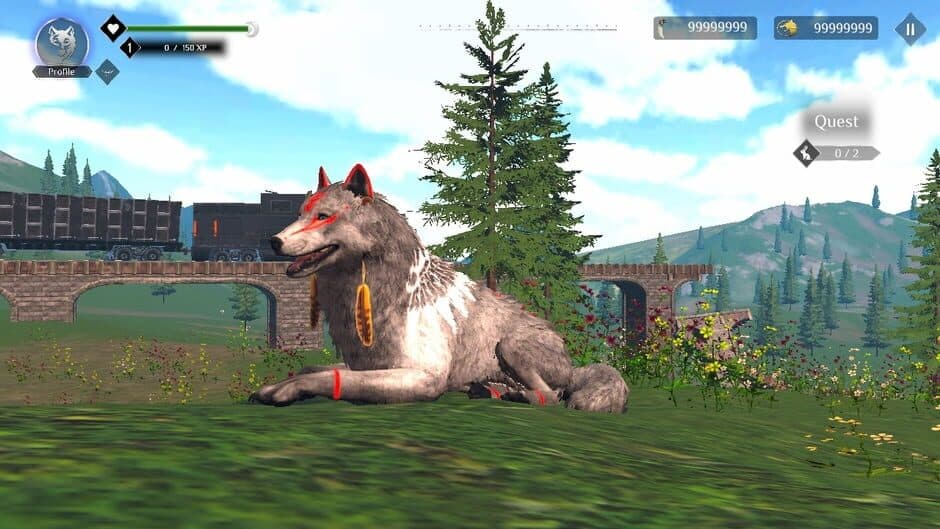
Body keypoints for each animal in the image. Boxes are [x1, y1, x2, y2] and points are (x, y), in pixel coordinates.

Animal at [249, 164, 629, 412]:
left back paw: (514, 395)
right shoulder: (368, 364)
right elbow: (315, 369)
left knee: (552, 396)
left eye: (323, 216)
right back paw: (488, 389)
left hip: (507, 346)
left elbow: (328, 376)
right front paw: (275, 385)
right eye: (301, 213)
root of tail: (571, 362)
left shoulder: (424, 377)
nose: (273, 241)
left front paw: (285, 391)